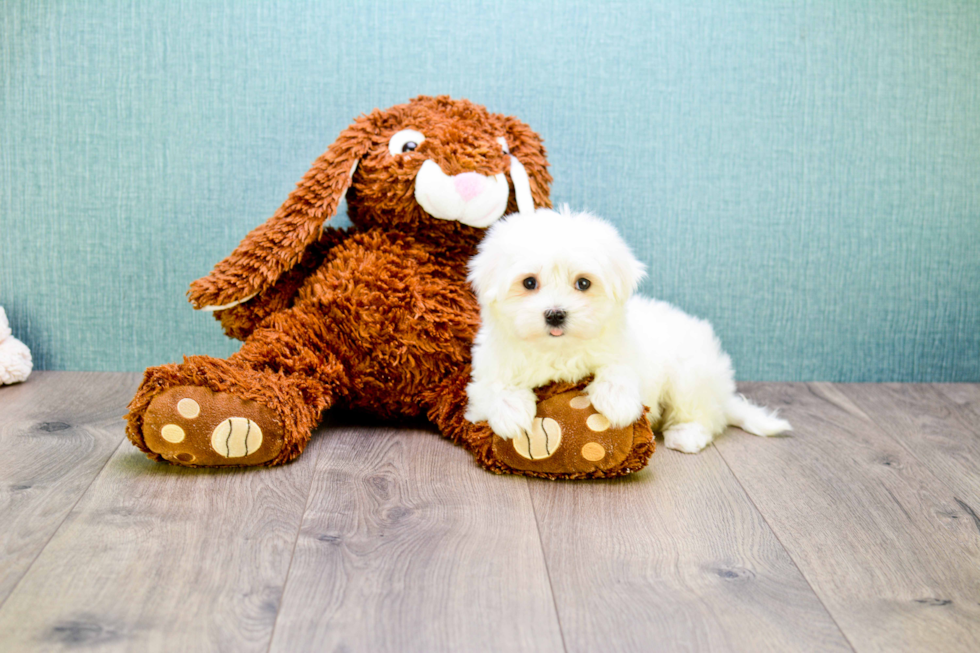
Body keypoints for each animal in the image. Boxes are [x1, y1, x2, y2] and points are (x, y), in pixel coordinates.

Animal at [464, 206, 792, 450]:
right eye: (529, 282)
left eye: (583, 283)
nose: (555, 314)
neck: (559, 350)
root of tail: (723, 393)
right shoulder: (485, 374)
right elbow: (493, 388)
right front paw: (511, 414)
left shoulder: (627, 354)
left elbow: (619, 370)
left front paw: (617, 403)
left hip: (690, 374)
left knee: (705, 415)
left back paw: (686, 435)